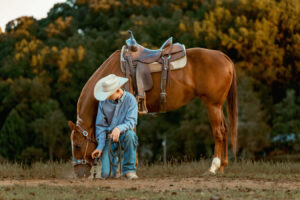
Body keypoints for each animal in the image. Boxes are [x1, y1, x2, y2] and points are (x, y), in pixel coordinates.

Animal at [67, 47, 237, 178]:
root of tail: (223, 57)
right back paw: (222, 166)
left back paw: (213, 167)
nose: (78, 173)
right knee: (225, 130)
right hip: (217, 106)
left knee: (219, 131)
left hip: (213, 105)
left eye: (77, 146)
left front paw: (128, 170)